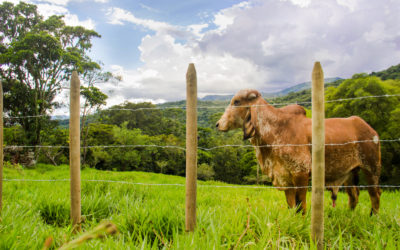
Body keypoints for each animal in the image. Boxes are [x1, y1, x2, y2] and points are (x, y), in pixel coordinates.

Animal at [216, 89, 382, 214]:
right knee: (354, 195)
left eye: (236, 102)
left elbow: (300, 205)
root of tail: (369, 128)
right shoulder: (285, 178)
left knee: (375, 194)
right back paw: (349, 215)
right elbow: (291, 205)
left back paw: (373, 218)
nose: (218, 124)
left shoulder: (301, 173)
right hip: (349, 173)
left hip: (371, 168)